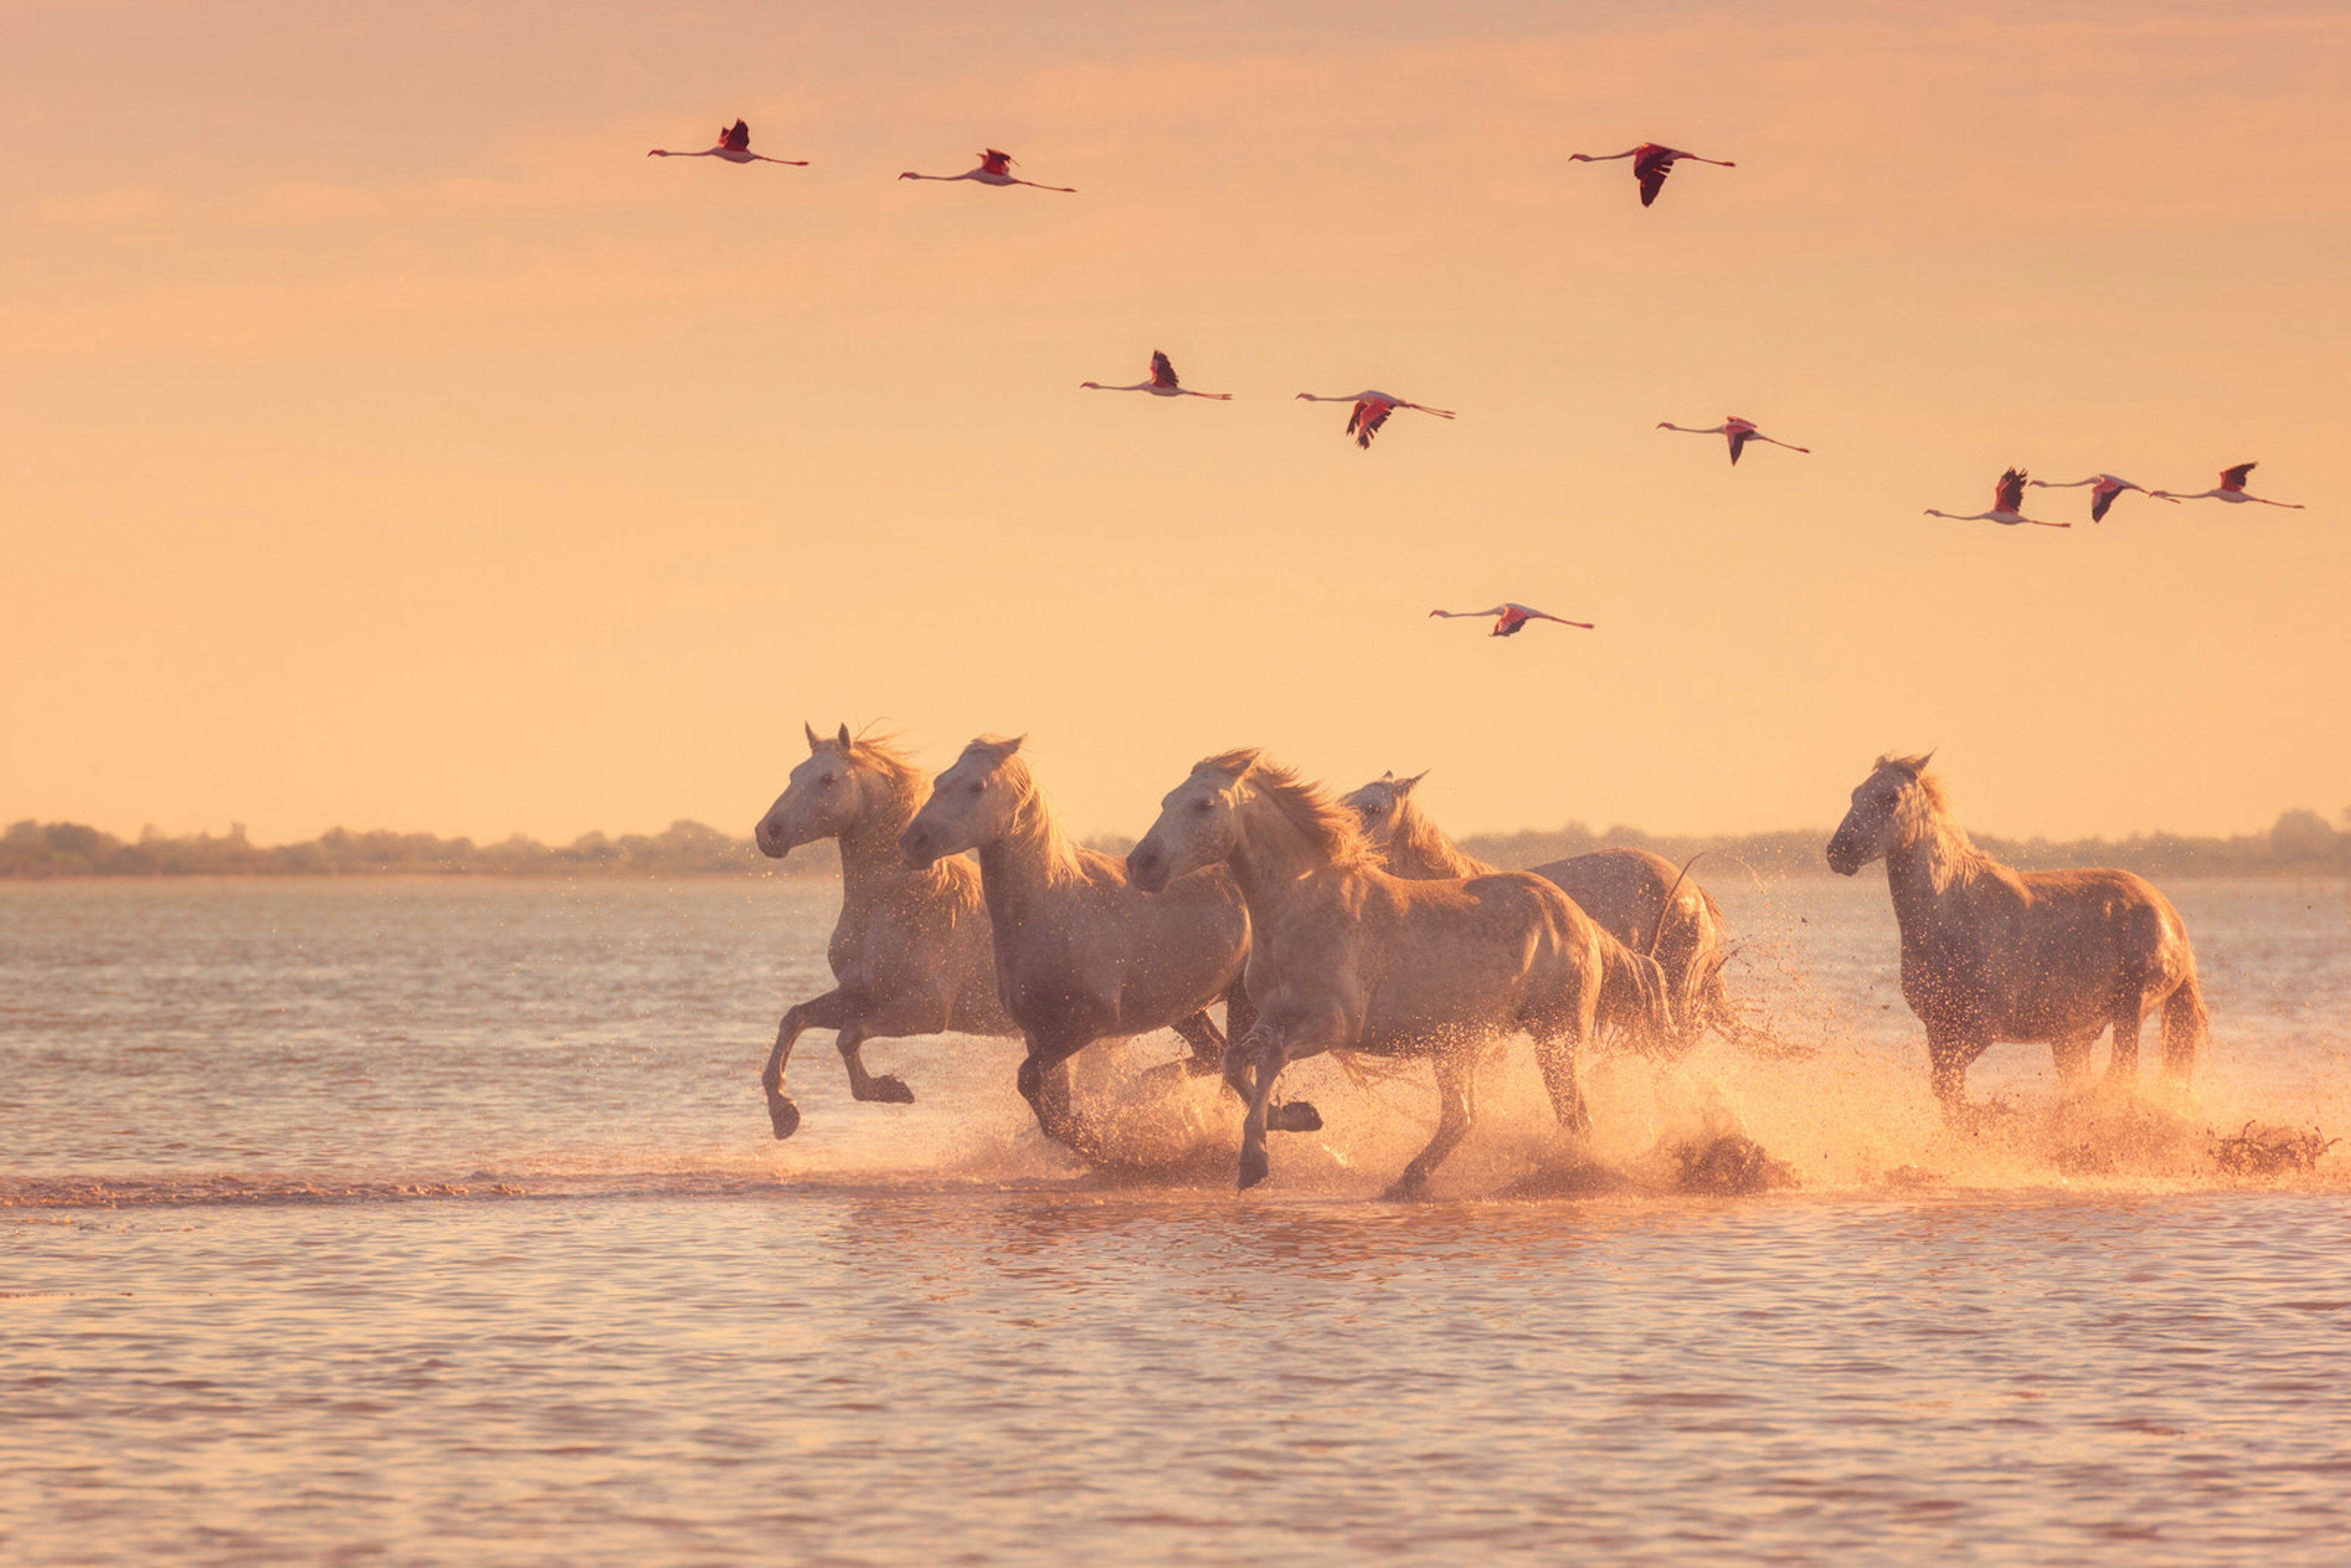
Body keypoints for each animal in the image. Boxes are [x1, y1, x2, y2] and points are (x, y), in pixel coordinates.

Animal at [752, 724, 1011, 1142]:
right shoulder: (862, 993)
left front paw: (890, 1089)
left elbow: (849, 1036)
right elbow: (795, 1018)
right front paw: (783, 1113)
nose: (768, 833)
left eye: (828, 779)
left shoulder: (928, 1009)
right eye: (794, 774)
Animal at [898, 733, 1316, 1152]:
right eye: (940, 781)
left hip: (1241, 1000)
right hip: (1186, 1009)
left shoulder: (1091, 1019)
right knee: (1213, 1054)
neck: (1051, 908)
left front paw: (1094, 1141)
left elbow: (1030, 1080)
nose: (913, 841)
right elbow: (1046, 1094)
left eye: (977, 786)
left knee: (1232, 1071)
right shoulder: (1038, 1030)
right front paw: (1087, 1137)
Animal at [1133, 752, 1655, 1194]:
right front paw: (1301, 1116)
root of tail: (1581, 920)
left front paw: (1254, 1161)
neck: (1303, 906)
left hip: (1554, 1036)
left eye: (1204, 804)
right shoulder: (1271, 1016)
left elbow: (1269, 1061)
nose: (1141, 864)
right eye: (1165, 801)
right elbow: (1235, 1062)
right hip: (1457, 1046)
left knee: (1574, 1117)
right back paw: (1407, 1180)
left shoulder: (1333, 1026)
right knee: (1463, 1117)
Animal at [1815, 752, 2200, 1109]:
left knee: (2121, 1075)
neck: (1954, 912)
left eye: (1891, 797)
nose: (1839, 852)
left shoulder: (1983, 1027)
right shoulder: (1937, 1028)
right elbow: (1947, 1092)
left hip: (2130, 1010)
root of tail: (2171, 917)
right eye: (1855, 794)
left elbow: (1947, 1085)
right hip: (2073, 1036)